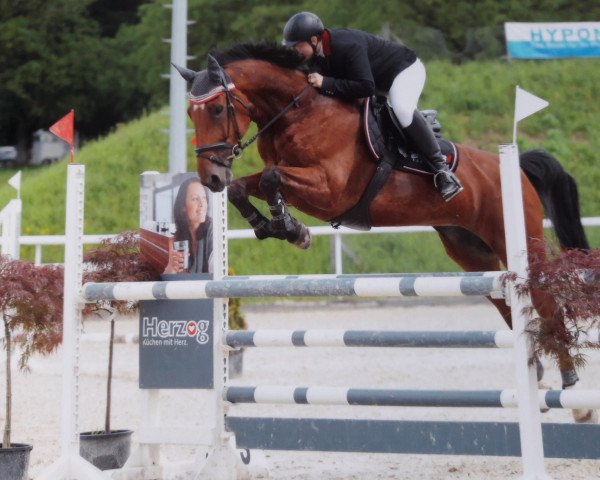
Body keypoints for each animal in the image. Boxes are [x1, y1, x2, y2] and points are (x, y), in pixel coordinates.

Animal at [173, 43, 596, 422]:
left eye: (216, 108)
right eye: (190, 114)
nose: (210, 178)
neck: (296, 112)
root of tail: (516, 167)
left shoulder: (330, 190)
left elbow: (273, 177)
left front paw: (291, 228)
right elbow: (245, 186)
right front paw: (275, 226)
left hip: (518, 241)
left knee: (544, 301)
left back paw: (576, 393)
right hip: (471, 252)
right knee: (508, 306)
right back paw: (537, 381)